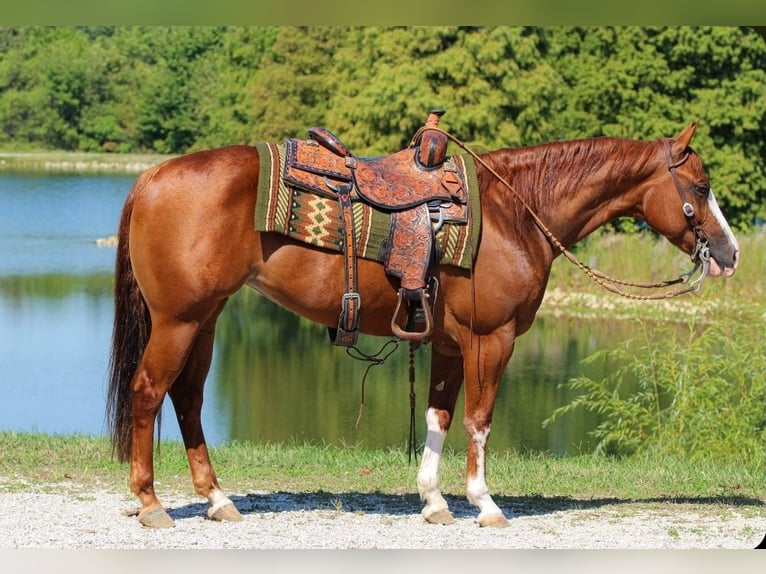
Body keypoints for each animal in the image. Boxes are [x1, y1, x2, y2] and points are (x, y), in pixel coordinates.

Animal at [106, 121, 739, 529]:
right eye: (701, 187)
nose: (730, 253)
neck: (515, 213)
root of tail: (151, 176)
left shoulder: (450, 345)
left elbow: (439, 417)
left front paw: (434, 502)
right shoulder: (491, 339)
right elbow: (480, 420)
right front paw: (484, 504)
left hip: (205, 320)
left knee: (187, 399)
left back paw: (217, 499)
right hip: (179, 321)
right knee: (148, 392)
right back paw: (153, 505)